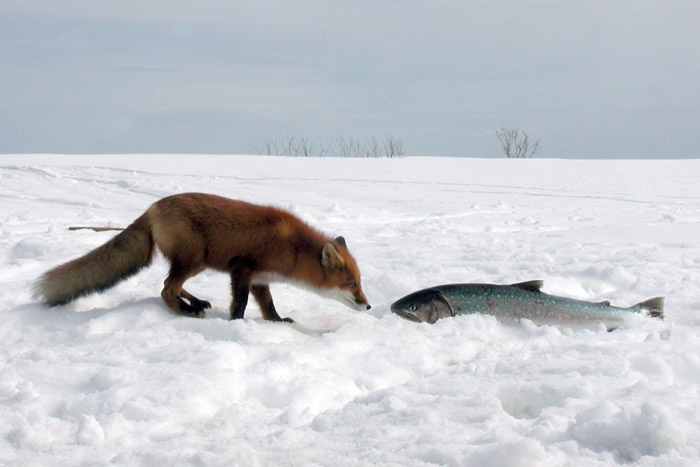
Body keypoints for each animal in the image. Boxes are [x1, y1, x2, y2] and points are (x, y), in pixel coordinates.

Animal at [34, 193, 371, 322]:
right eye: (353, 284)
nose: (368, 305)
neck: (291, 247)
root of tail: (153, 207)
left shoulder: (260, 279)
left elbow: (268, 305)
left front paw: (277, 322)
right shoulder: (242, 267)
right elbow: (241, 302)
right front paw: (236, 323)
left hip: (197, 262)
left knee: (171, 284)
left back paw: (195, 302)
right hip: (195, 259)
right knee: (165, 288)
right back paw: (186, 311)